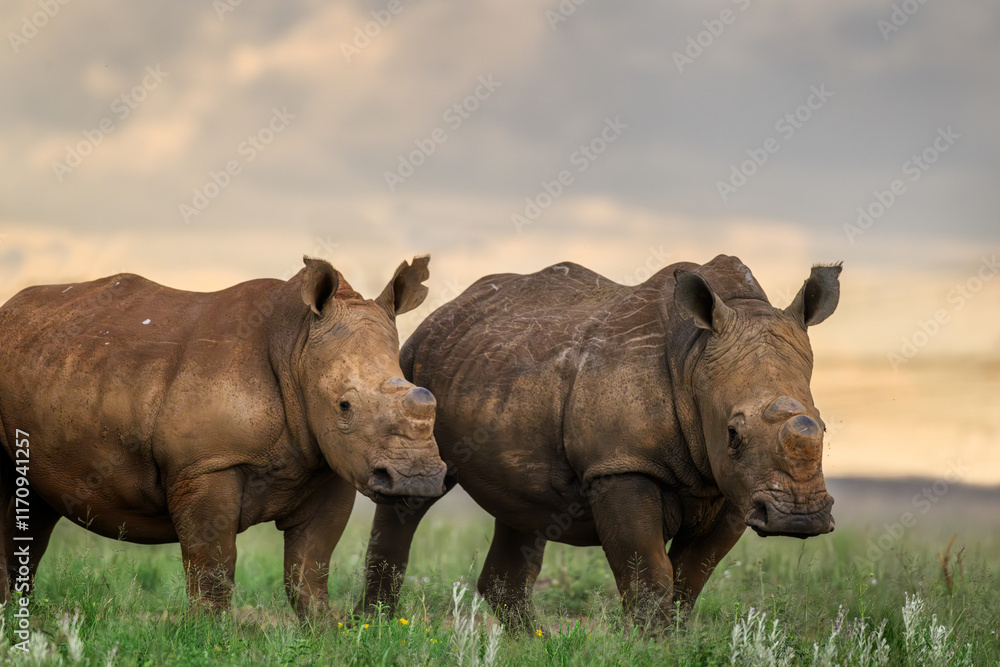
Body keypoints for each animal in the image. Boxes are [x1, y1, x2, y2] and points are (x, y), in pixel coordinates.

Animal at [0, 256, 446, 617]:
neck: (297, 344)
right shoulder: (207, 464)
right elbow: (213, 565)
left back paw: (23, 614)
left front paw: (325, 637)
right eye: (344, 406)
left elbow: (310, 567)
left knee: (34, 506)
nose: (418, 478)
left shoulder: (331, 464)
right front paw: (207, 636)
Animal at [360, 255, 841, 627]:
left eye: (823, 426)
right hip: (412, 365)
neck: (694, 358)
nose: (799, 519)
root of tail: (443, 311)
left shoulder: (733, 488)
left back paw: (534, 646)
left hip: (497, 368)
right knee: (413, 495)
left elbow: (689, 581)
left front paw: (674, 643)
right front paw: (653, 649)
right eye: (733, 433)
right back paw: (381, 630)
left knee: (523, 508)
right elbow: (650, 580)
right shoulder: (621, 465)